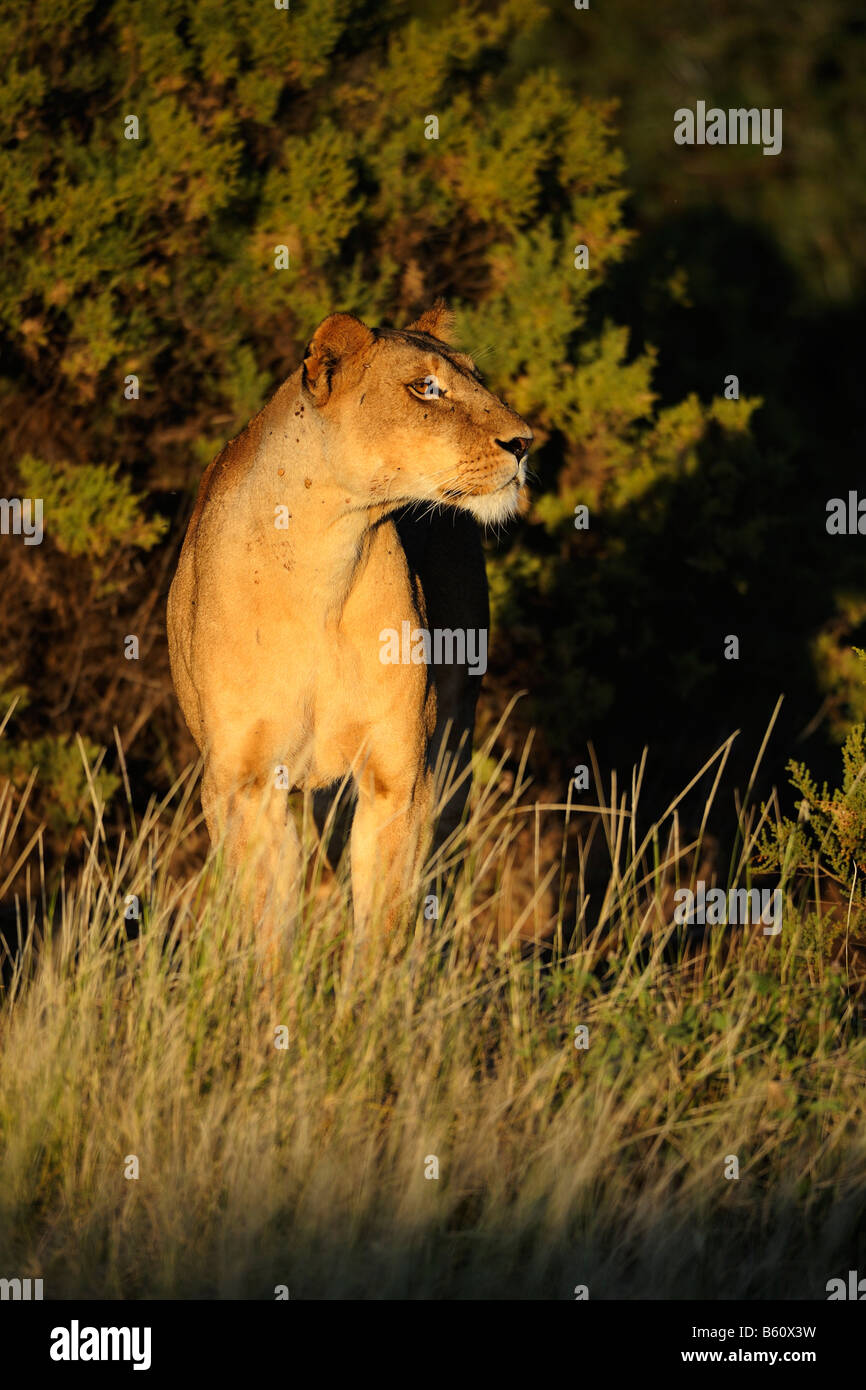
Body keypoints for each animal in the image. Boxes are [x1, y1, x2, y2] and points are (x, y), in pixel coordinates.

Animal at [166, 301, 532, 949]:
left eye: (475, 377)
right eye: (426, 388)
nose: (526, 442)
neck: (324, 561)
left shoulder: (399, 774)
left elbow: (384, 921)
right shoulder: (243, 785)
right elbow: (265, 927)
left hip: (454, 739)